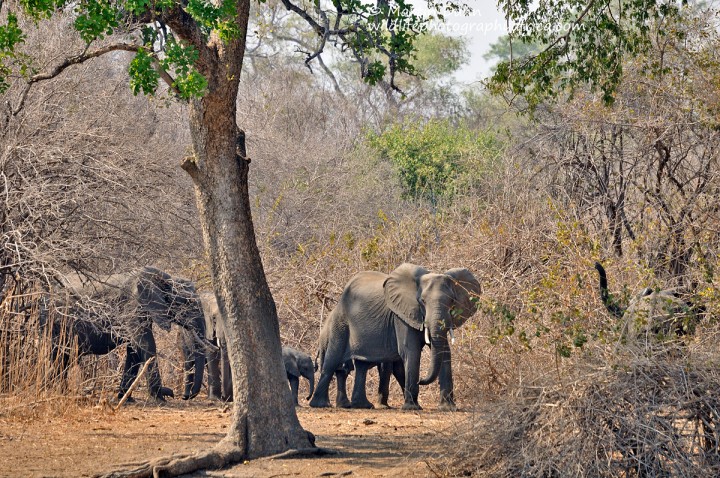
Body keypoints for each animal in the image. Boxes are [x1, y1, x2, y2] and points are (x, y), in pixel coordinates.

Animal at [43, 268, 208, 402]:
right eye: (187, 303)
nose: (185, 397)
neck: (163, 278)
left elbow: (134, 350)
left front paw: (126, 399)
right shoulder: (131, 306)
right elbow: (146, 344)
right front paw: (160, 397)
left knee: (65, 358)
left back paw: (59, 392)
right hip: (56, 322)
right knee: (57, 356)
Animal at [308, 264, 478, 408]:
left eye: (452, 301)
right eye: (422, 301)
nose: (421, 380)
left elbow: (445, 351)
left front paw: (448, 408)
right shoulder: (401, 315)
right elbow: (410, 351)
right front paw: (411, 408)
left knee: (361, 365)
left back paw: (362, 405)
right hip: (340, 323)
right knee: (332, 361)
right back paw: (321, 405)